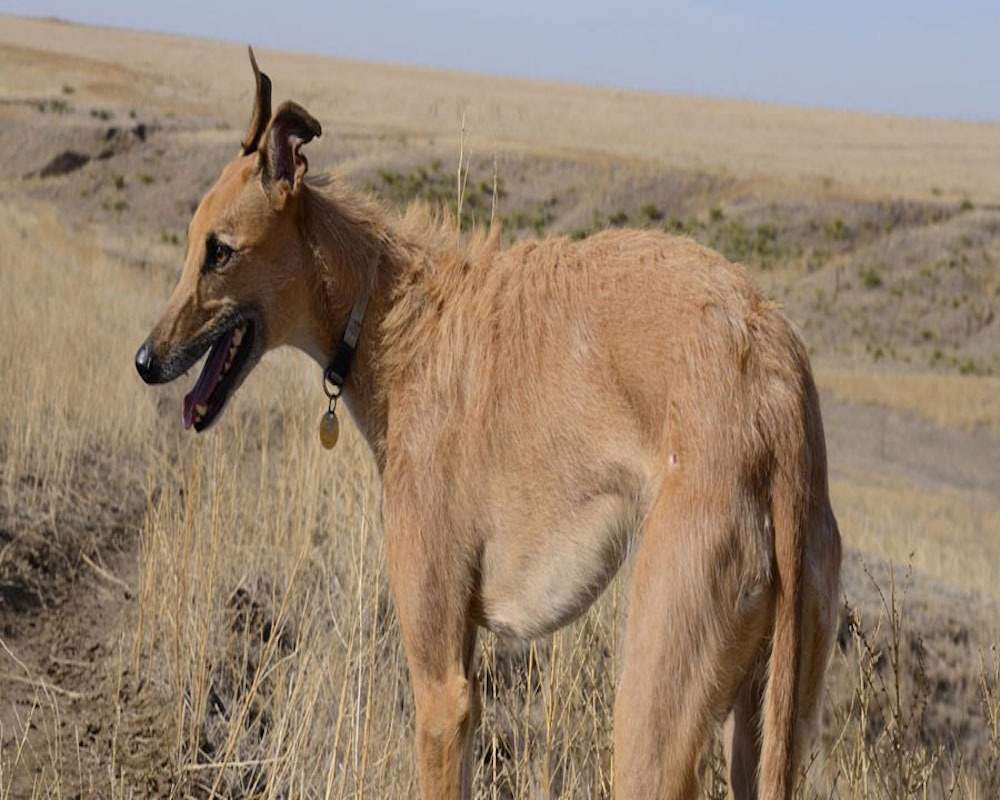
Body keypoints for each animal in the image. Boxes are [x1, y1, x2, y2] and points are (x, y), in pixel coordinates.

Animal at [133, 51, 836, 800]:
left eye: (220, 251)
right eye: (190, 244)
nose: (145, 361)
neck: (388, 313)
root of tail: (775, 385)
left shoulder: (443, 687)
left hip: (653, 712)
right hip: (762, 721)